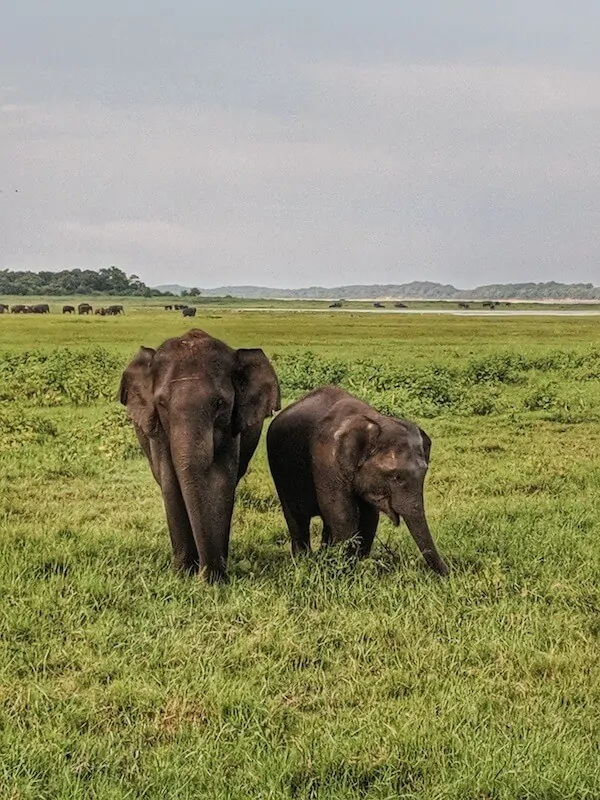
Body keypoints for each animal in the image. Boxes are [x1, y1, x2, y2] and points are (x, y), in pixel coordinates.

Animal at [122, 326, 284, 580]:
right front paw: (183, 574)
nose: (204, 575)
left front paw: (213, 577)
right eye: (162, 404)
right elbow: (170, 482)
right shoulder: (158, 430)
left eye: (220, 404)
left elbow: (221, 480)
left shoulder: (231, 427)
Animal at [264, 388, 448, 576]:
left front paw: (354, 565)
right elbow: (342, 514)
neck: (375, 422)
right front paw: (344, 572)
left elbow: (369, 516)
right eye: (395, 477)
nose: (449, 574)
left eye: (424, 472)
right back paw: (303, 561)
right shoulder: (326, 460)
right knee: (296, 517)